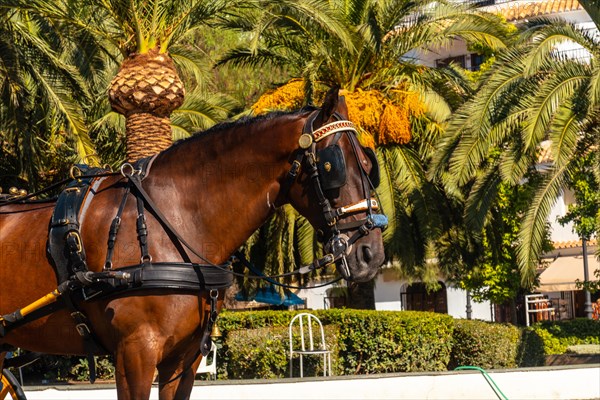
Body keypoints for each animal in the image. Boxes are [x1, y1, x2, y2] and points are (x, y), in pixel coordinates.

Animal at [0, 89, 384, 398]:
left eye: (370, 165)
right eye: (333, 167)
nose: (372, 253)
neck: (171, 219)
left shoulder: (183, 360)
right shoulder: (135, 354)